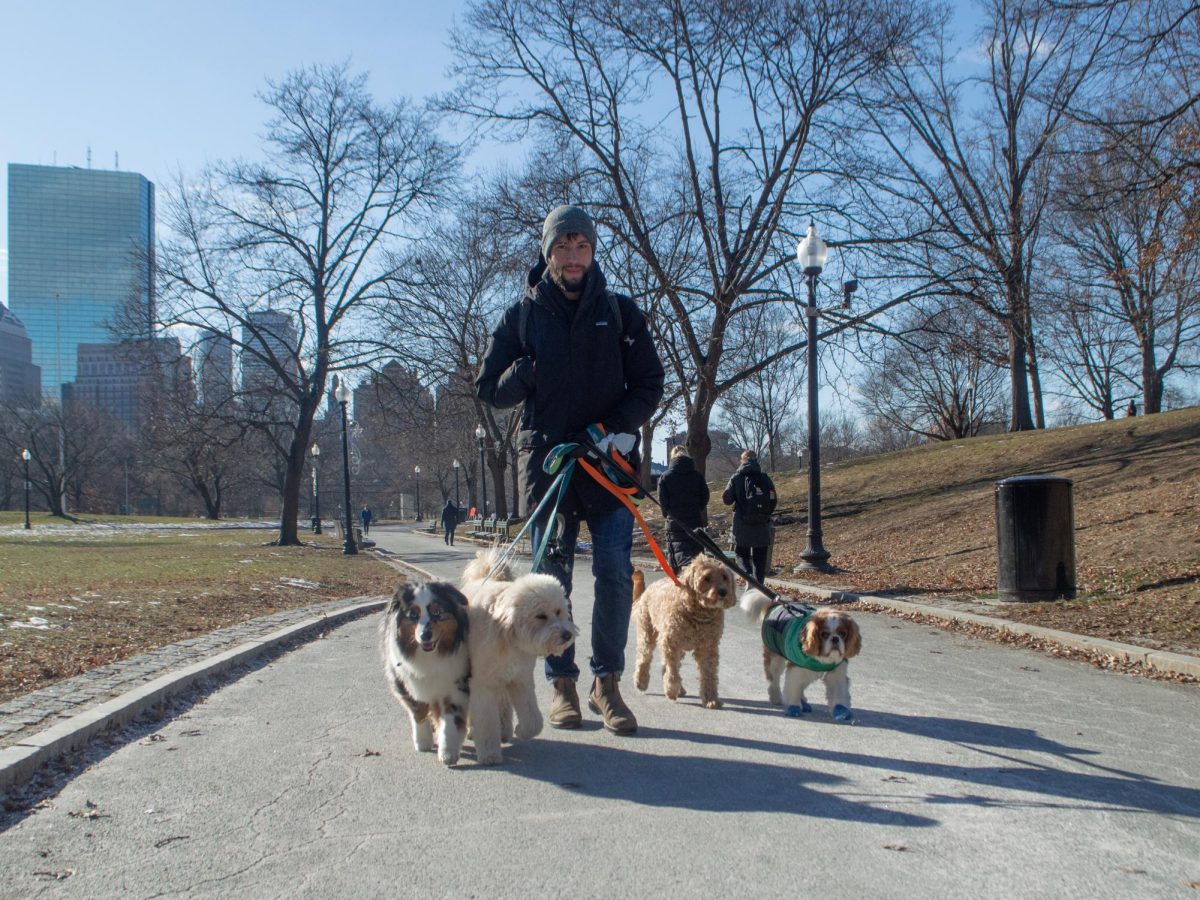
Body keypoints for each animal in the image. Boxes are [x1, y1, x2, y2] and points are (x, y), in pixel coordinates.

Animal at [458, 554, 576, 763]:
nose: (566, 635)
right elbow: (486, 722)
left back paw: (505, 730)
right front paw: (489, 754)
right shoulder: (483, 685)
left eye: (558, 611)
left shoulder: (520, 680)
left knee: (504, 705)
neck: (506, 635)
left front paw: (522, 730)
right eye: (540, 616)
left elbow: (532, 719)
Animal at [633, 556, 734, 710]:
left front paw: (711, 698)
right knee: (644, 658)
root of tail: (649, 588)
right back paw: (641, 682)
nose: (723, 592)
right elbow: (672, 671)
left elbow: (709, 675)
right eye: (706, 578)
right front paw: (671, 690)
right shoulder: (670, 643)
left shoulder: (708, 648)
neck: (697, 614)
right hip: (647, 633)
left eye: (724, 577)